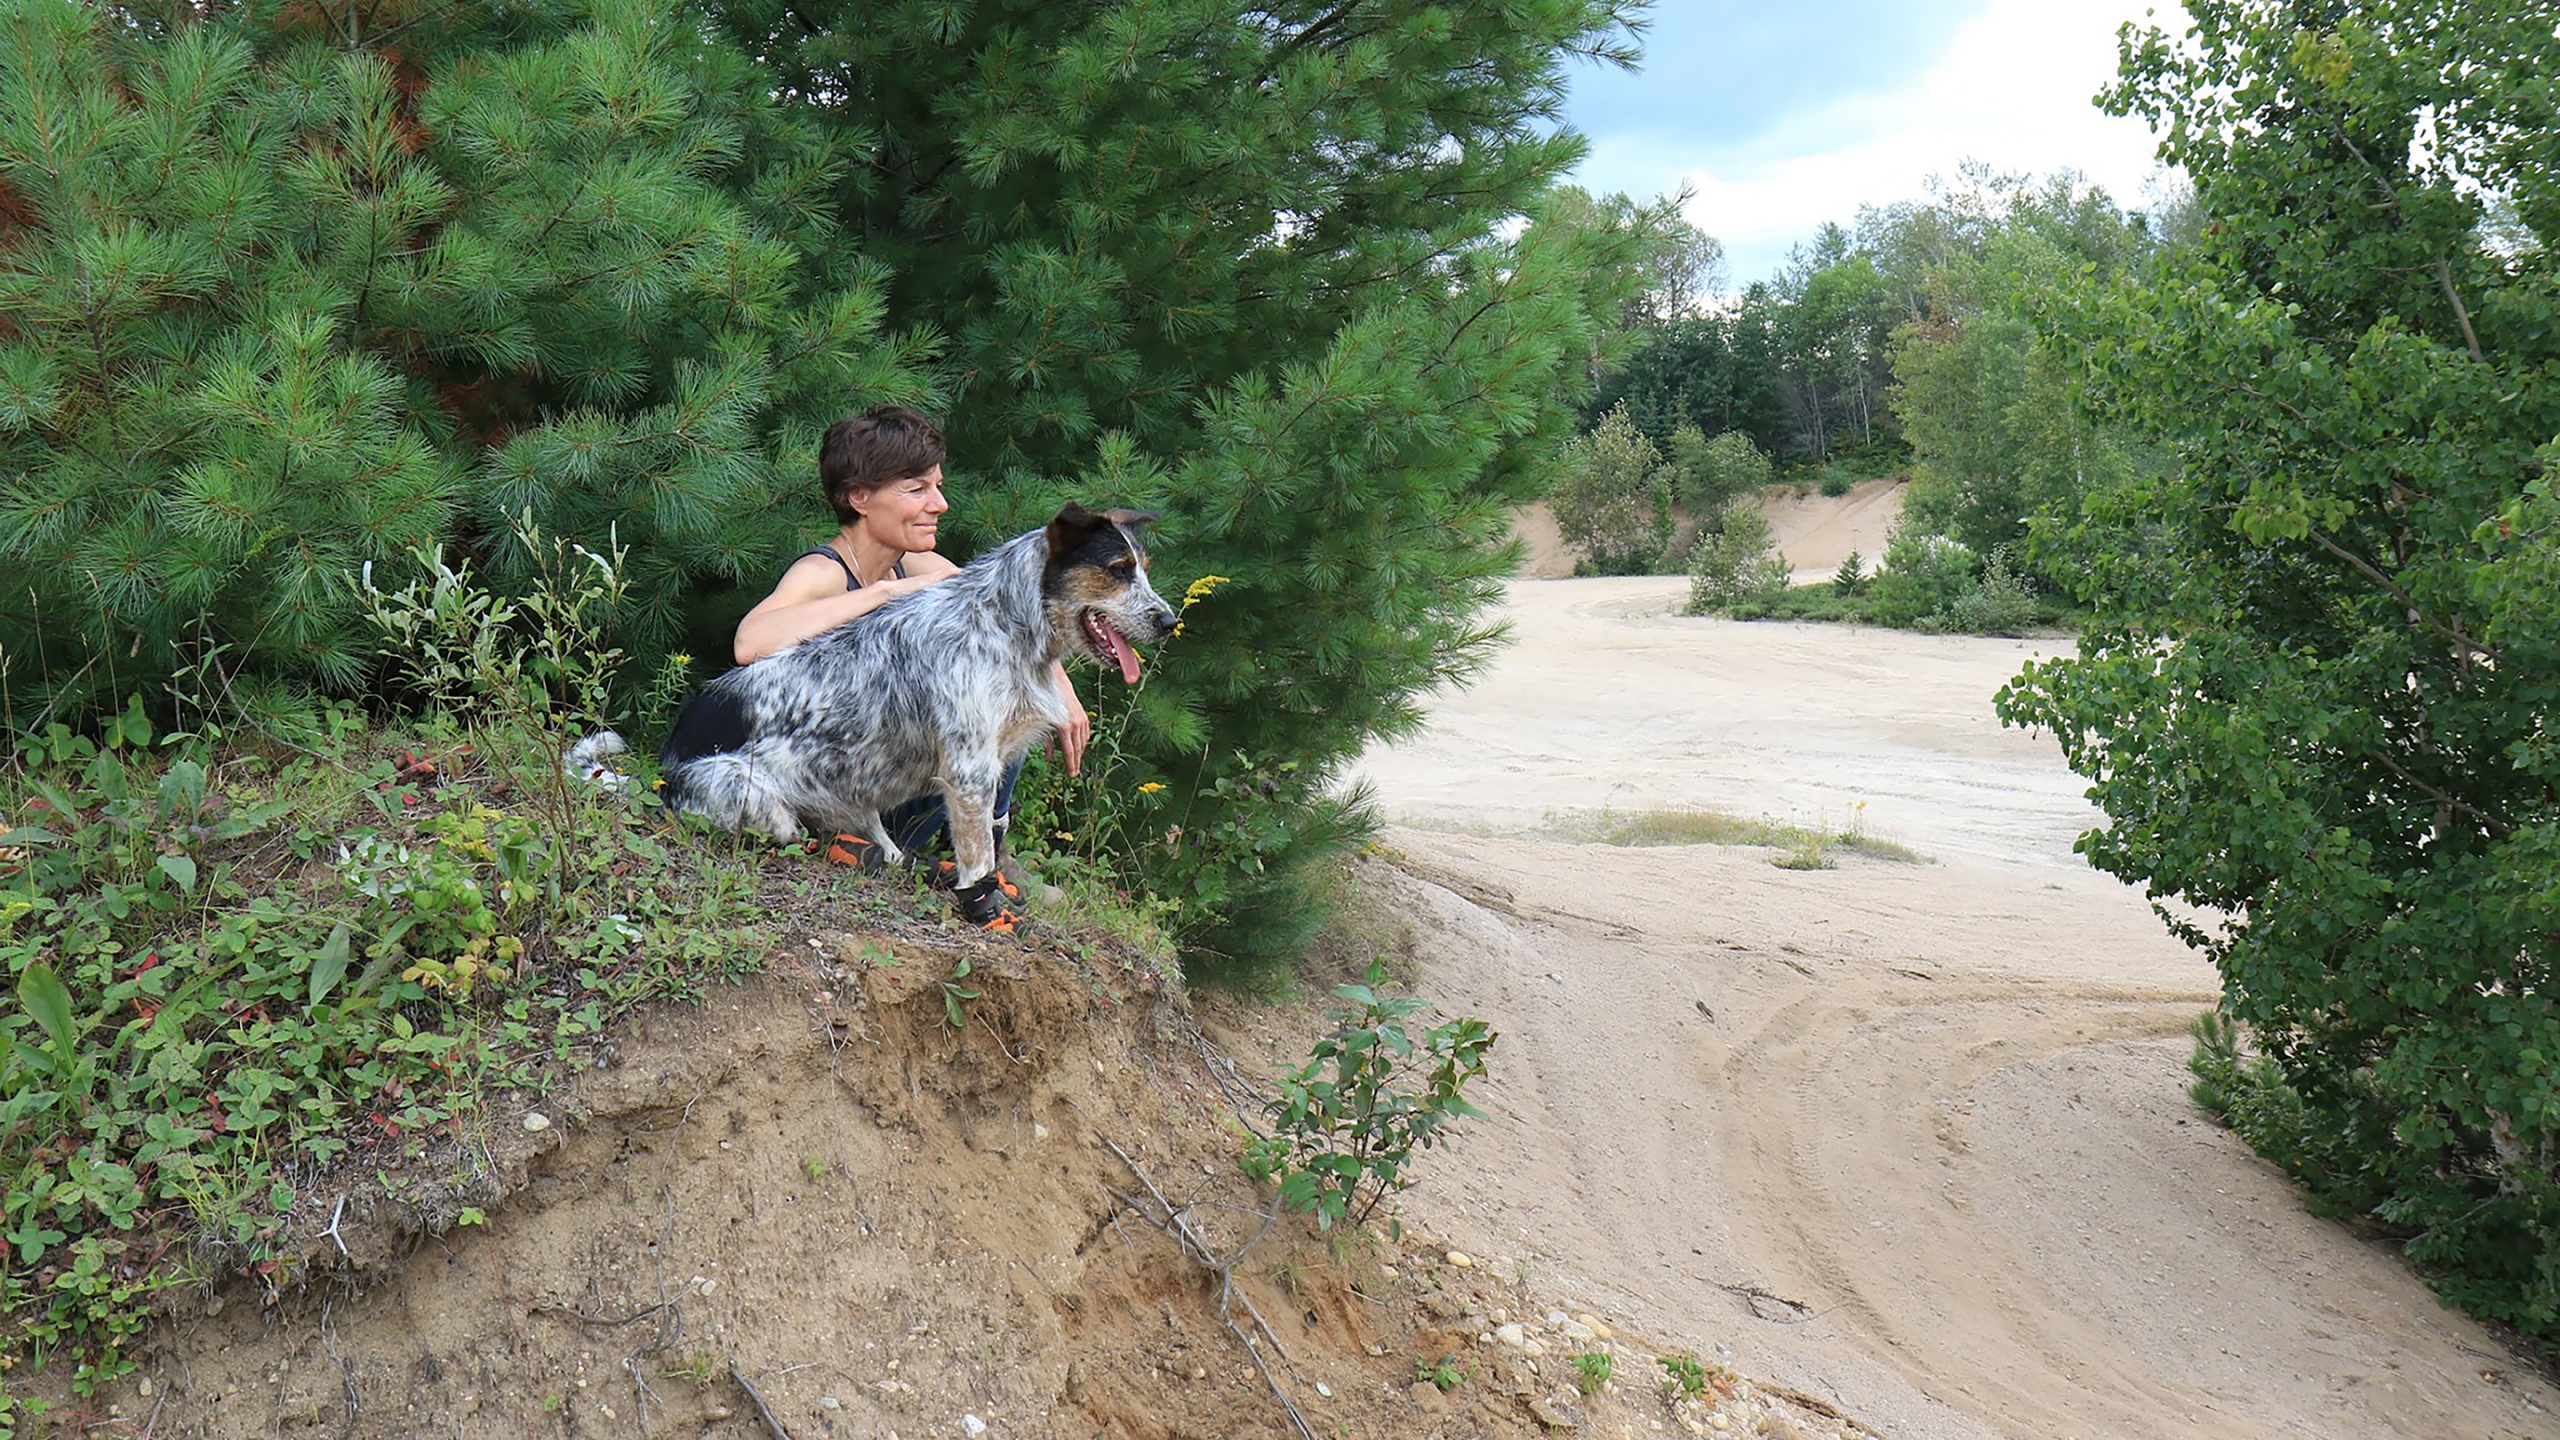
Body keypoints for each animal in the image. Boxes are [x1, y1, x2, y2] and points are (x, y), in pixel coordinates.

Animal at [593, 504, 1172, 917]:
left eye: (1142, 570)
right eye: (1117, 570)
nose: (1168, 622)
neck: (1006, 622)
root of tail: (664, 771)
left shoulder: (995, 756)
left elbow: (990, 832)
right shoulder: (969, 769)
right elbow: (978, 856)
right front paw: (984, 907)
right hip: (757, 800)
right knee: (791, 834)